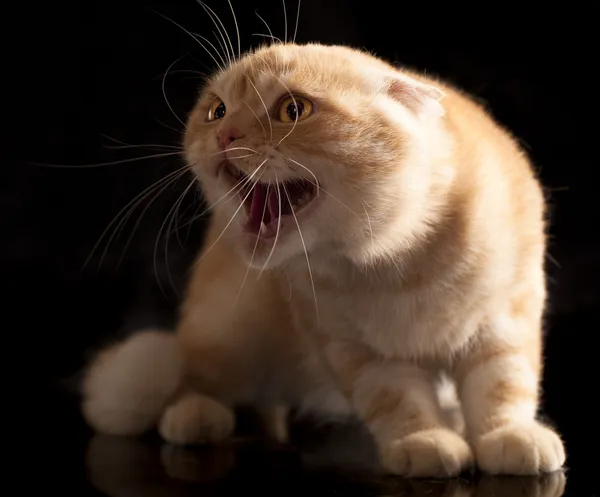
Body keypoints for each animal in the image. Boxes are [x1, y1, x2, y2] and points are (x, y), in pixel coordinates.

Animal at [81, 42, 568, 476]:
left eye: (292, 111)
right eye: (217, 110)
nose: (223, 135)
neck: (398, 266)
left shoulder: (505, 319)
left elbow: (502, 386)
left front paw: (508, 436)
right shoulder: (356, 350)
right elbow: (400, 401)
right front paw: (425, 441)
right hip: (227, 328)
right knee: (195, 377)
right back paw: (195, 415)